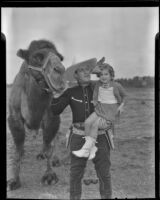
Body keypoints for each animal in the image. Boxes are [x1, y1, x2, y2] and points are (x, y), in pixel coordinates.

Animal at [7, 39, 66, 191]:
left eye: (60, 57)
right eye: (37, 57)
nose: (60, 70)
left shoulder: (52, 116)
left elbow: (49, 144)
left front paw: (49, 176)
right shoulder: (14, 117)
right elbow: (17, 147)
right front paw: (14, 180)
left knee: (54, 137)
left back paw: (53, 158)